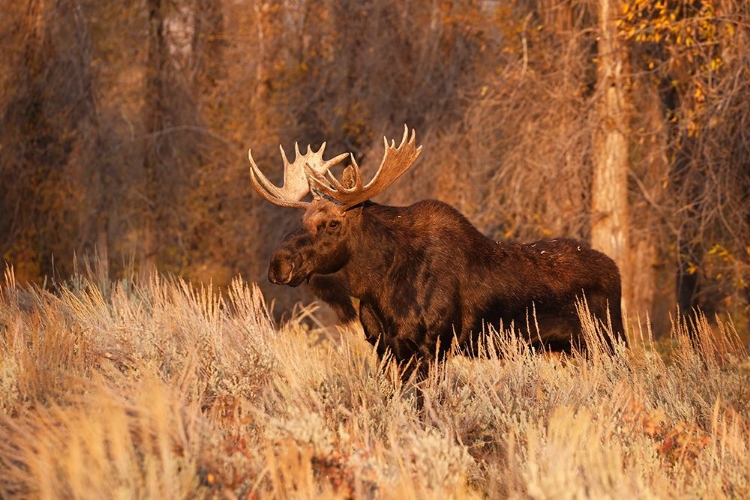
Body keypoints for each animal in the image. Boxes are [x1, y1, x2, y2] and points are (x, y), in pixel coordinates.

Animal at [251, 125, 628, 368]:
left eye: (332, 224)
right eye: (301, 220)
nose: (278, 265)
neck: (378, 286)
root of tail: (616, 270)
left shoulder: (433, 346)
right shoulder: (385, 348)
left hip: (608, 341)